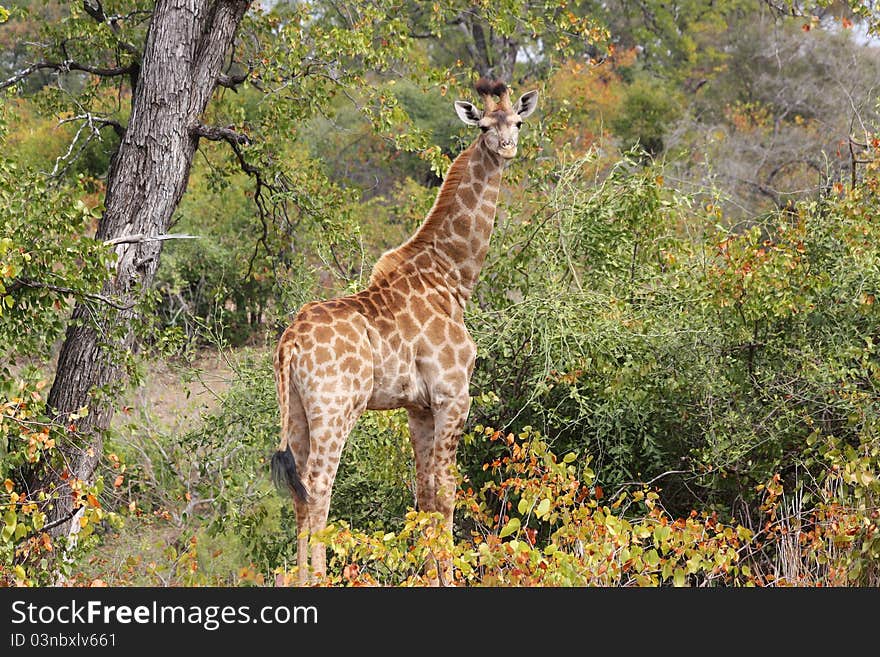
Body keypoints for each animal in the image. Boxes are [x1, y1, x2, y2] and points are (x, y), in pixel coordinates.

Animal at [272, 78, 540, 584]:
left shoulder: (418, 406)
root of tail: (289, 344)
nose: (508, 147)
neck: (451, 278)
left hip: (295, 410)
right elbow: (447, 490)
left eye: (517, 121)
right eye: (484, 126)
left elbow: (424, 492)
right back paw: (319, 577)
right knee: (319, 483)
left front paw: (431, 573)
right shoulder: (454, 394)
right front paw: (449, 577)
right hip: (336, 406)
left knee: (299, 489)